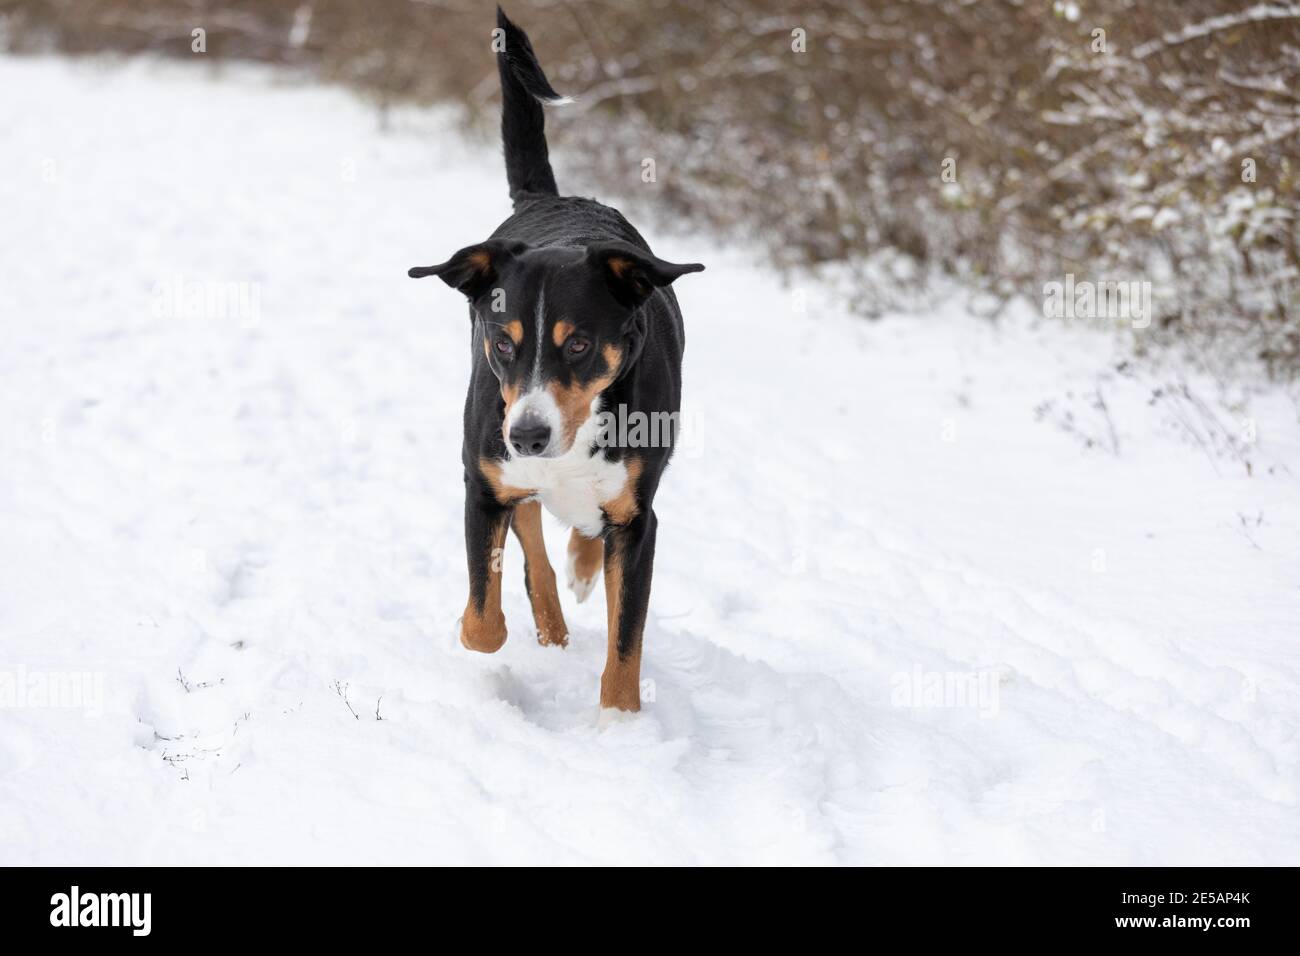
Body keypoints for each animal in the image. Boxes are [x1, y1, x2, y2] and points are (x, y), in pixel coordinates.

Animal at [410, 11, 707, 723]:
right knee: (530, 538)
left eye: (577, 345)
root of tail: (551, 200)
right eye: (502, 342)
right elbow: (482, 622)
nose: (528, 434)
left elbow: (627, 639)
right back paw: (551, 617)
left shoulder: (639, 519)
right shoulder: (483, 483)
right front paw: (508, 625)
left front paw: (619, 725)